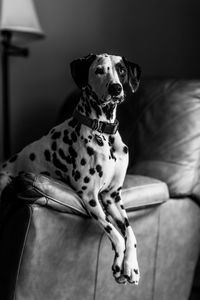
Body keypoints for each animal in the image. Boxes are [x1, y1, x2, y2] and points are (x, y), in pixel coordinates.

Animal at [0, 52, 141, 284]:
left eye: (121, 70)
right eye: (99, 70)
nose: (116, 88)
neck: (104, 133)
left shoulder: (112, 197)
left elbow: (130, 233)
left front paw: (131, 266)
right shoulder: (90, 197)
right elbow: (115, 233)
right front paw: (119, 263)